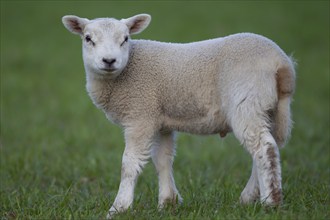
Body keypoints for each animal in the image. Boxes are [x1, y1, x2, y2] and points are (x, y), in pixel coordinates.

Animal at [62, 13, 296, 218]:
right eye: (88, 38)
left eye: (126, 38)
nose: (109, 60)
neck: (124, 73)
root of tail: (281, 63)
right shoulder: (160, 119)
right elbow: (162, 159)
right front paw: (168, 203)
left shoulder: (141, 115)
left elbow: (129, 163)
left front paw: (119, 208)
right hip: (271, 108)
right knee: (270, 146)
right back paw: (248, 198)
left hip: (246, 100)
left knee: (264, 148)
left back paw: (271, 202)